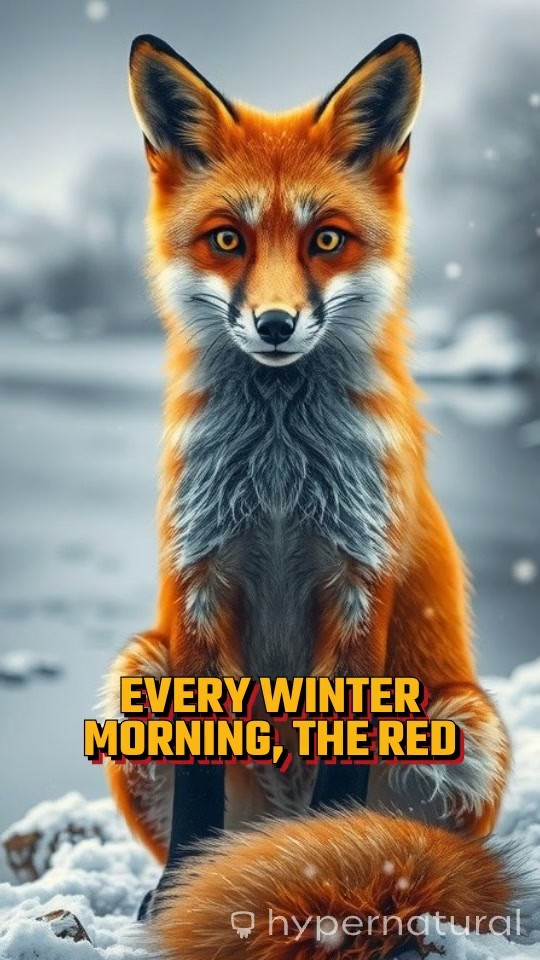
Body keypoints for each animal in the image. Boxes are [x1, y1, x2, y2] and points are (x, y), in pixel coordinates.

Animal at [99, 32, 523, 959]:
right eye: (227, 239)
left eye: (327, 239)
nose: (275, 324)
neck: (280, 484)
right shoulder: (200, 582)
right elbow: (196, 795)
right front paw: (184, 893)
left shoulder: (361, 586)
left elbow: (341, 776)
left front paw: (326, 878)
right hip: (137, 671)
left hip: (463, 726)